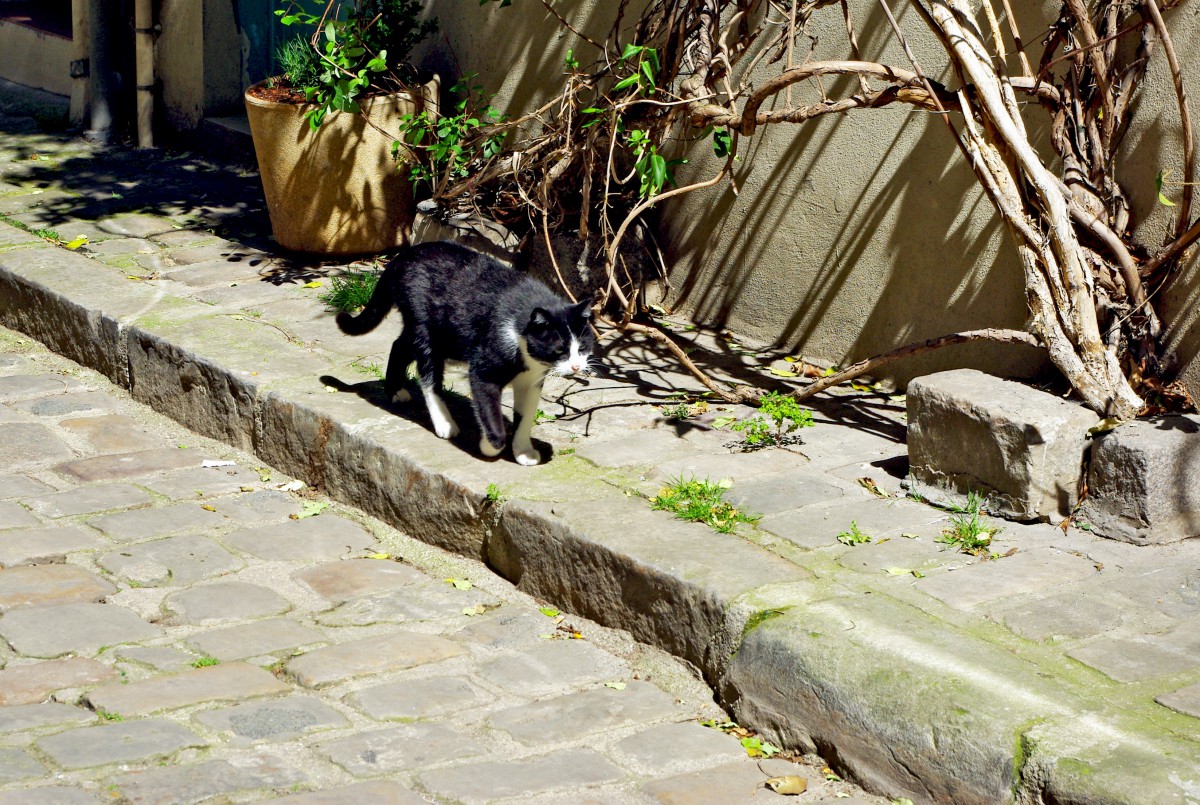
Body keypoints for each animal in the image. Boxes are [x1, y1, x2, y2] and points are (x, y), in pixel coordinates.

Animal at [333, 241, 595, 465]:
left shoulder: (531, 380)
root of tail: (403, 256)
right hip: (425, 329)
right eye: (560, 349)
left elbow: (525, 416)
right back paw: (444, 423)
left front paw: (523, 451)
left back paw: (395, 390)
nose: (576, 366)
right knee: (428, 377)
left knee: (399, 345)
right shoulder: (483, 372)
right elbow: (489, 411)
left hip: (446, 335)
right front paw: (490, 446)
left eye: (582, 348)